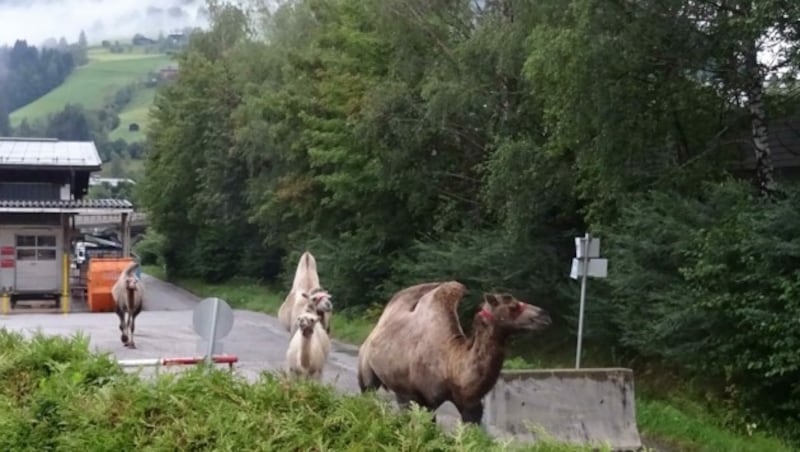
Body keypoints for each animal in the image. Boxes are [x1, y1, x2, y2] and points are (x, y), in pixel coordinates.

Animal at [356, 280, 552, 426]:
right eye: (513, 306)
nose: (545, 316)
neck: (451, 365)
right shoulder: (425, 399)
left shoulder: (469, 404)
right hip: (367, 372)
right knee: (368, 393)